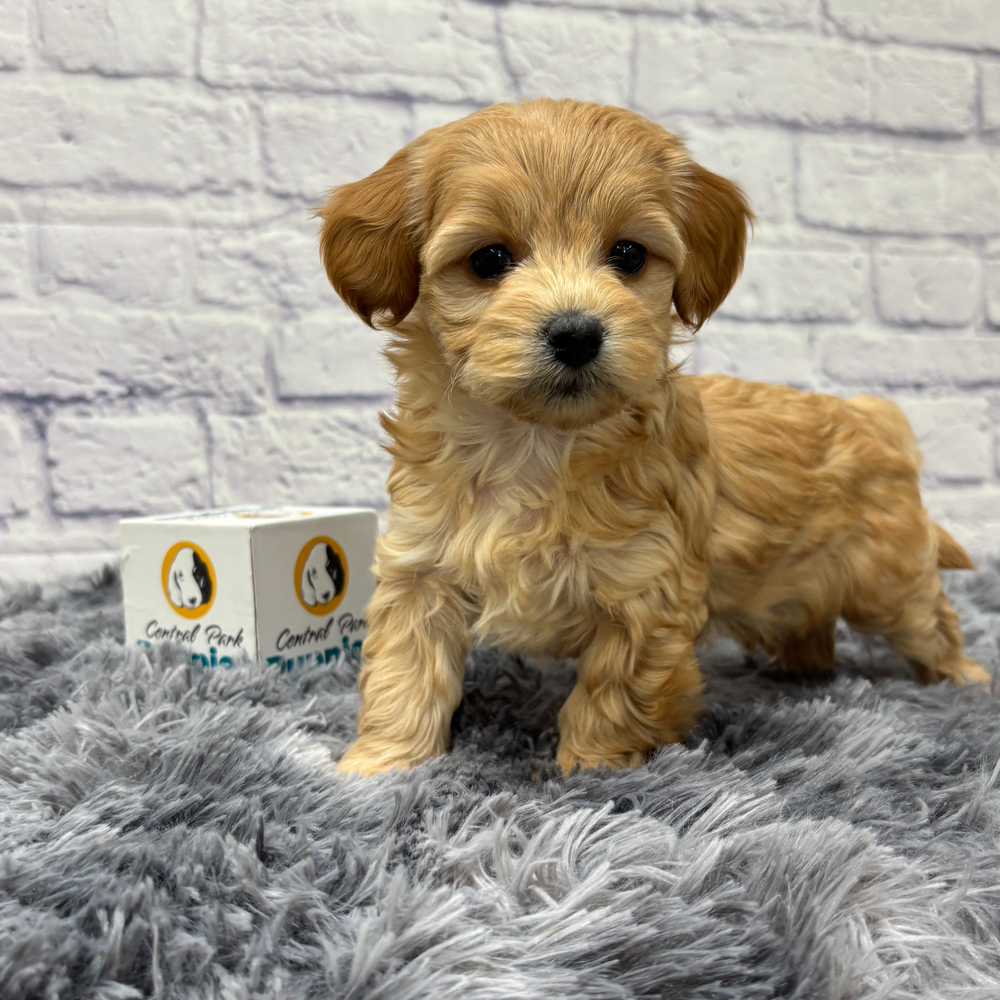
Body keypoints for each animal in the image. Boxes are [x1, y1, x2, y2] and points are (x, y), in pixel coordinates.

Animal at [318, 99, 989, 777]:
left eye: (628, 254)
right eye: (488, 260)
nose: (576, 333)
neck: (534, 444)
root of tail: (870, 413)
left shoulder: (645, 592)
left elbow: (610, 694)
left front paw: (589, 769)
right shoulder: (419, 567)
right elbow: (404, 672)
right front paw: (382, 765)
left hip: (887, 576)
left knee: (932, 619)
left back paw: (966, 677)